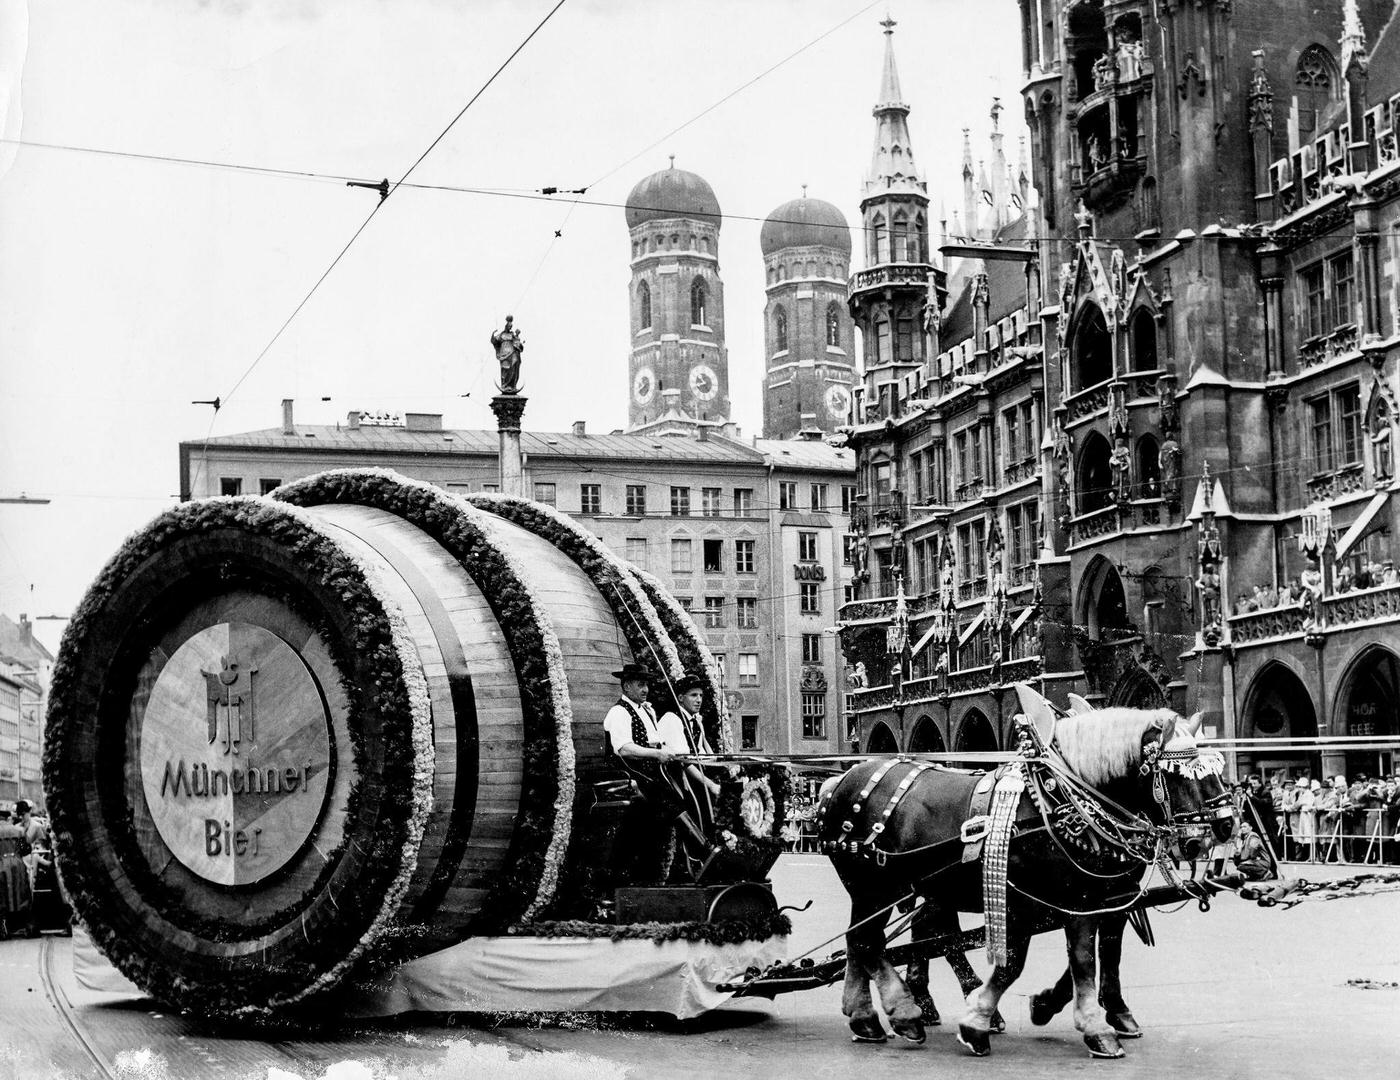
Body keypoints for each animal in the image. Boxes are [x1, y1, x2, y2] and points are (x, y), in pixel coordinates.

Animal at [817, 691, 1237, 1053]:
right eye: (1178, 773)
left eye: (1215, 768)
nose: (1224, 827)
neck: (1059, 801)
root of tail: (839, 780)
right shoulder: (1034, 900)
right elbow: (1032, 963)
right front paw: (980, 1022)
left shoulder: (1097, 899)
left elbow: (1096, 957)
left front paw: (1088, 1016)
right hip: (875, 886)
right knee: (872, 940)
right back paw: (904, 1012)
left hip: (898, 889)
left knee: (867, 940)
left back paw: (866, 1017)